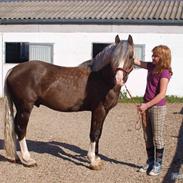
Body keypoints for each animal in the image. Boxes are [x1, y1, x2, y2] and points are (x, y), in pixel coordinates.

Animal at [3, 34, 134, 170]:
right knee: (21, 129)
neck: (101, 77)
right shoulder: (99, 110)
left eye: (130, 56)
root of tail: (13, 69)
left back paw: (16, 156)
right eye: (114, 57)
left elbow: (99, 132)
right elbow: (94, 133)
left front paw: (96, 158)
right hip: (25, 107)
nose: (119, 79)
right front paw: (92, 160)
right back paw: (28, 159)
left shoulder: (105, 111)